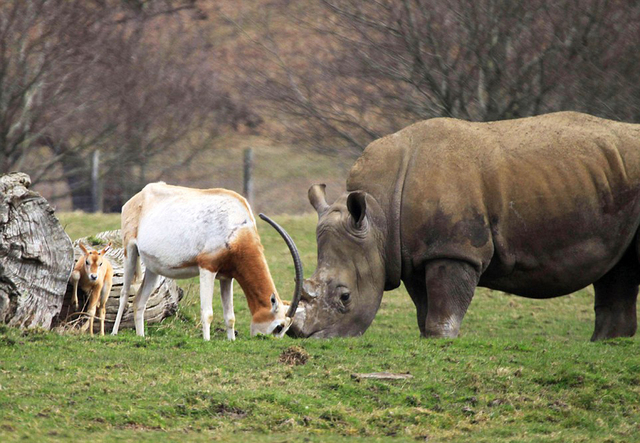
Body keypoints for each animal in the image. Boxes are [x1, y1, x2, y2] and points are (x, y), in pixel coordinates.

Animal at [111, 182, 302, 342]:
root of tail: (138, 197)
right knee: (124, 293)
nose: (270, 341)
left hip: (153, 269)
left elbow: (230, 316)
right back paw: (113, 333)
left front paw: (231, 340)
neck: (237, 228)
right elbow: (207, 313)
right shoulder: (207, 268)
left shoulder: (227, 276)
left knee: (139, 301)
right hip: (129, 252)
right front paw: (207, 341)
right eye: (279, 326)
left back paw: (141, 336)